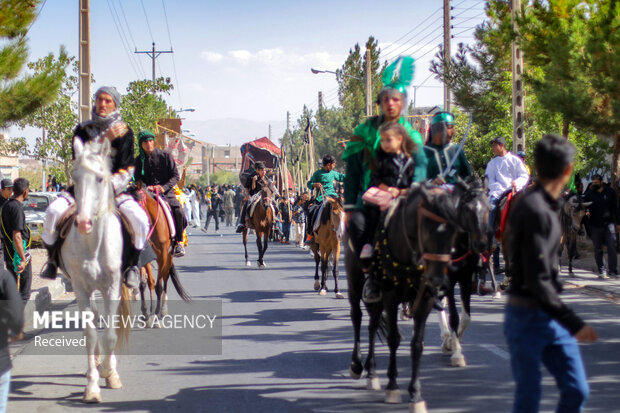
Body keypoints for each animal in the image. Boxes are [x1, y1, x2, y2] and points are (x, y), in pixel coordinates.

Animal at [61, 138, 131, 402]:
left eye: (100, 178)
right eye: (75, 176)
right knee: (93, 315)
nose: (83, 222)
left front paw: (110, 374)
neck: (92, 244)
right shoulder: (80, 288)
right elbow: (90, 334)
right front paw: (92, 386)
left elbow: (110, 333)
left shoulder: (112, 286)